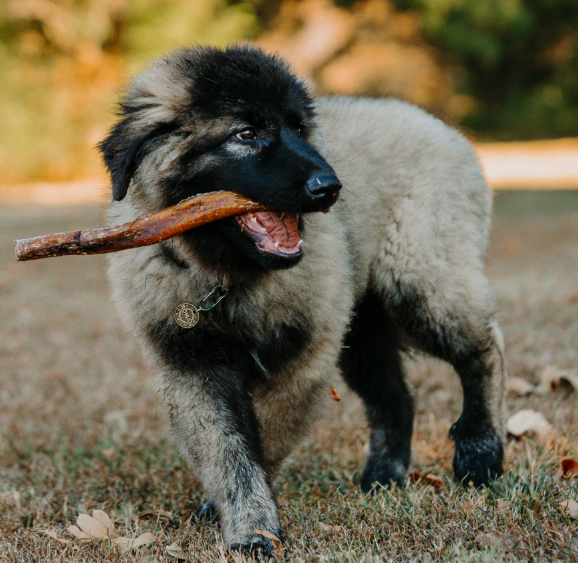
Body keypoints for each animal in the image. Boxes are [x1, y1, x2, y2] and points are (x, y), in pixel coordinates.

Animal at [99, 44, 504, 556]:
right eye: (246, 134)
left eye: (298, 128)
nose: (329, 188)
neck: (225, 276)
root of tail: (444, 129)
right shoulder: (191, 368)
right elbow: (228, 452)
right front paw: (248, 524)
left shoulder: (303, 361)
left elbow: (266, 439)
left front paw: (254, 524)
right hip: (364, 330)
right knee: (396, 398)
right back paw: (382, 478)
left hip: (419, 278)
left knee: (483, 346)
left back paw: (480, 450)